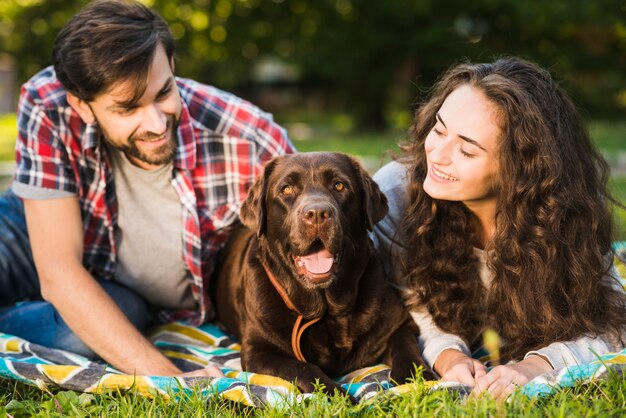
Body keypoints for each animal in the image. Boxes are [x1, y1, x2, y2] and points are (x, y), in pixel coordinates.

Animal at [211, 152, 428, 396]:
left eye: (339, 185)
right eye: (286, 189)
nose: (316, 214)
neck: (328, 311)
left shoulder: (399, 325)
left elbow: (406, 350)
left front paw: (419, 381)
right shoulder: (258, 351)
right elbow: (302, 368)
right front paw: (338, 395)